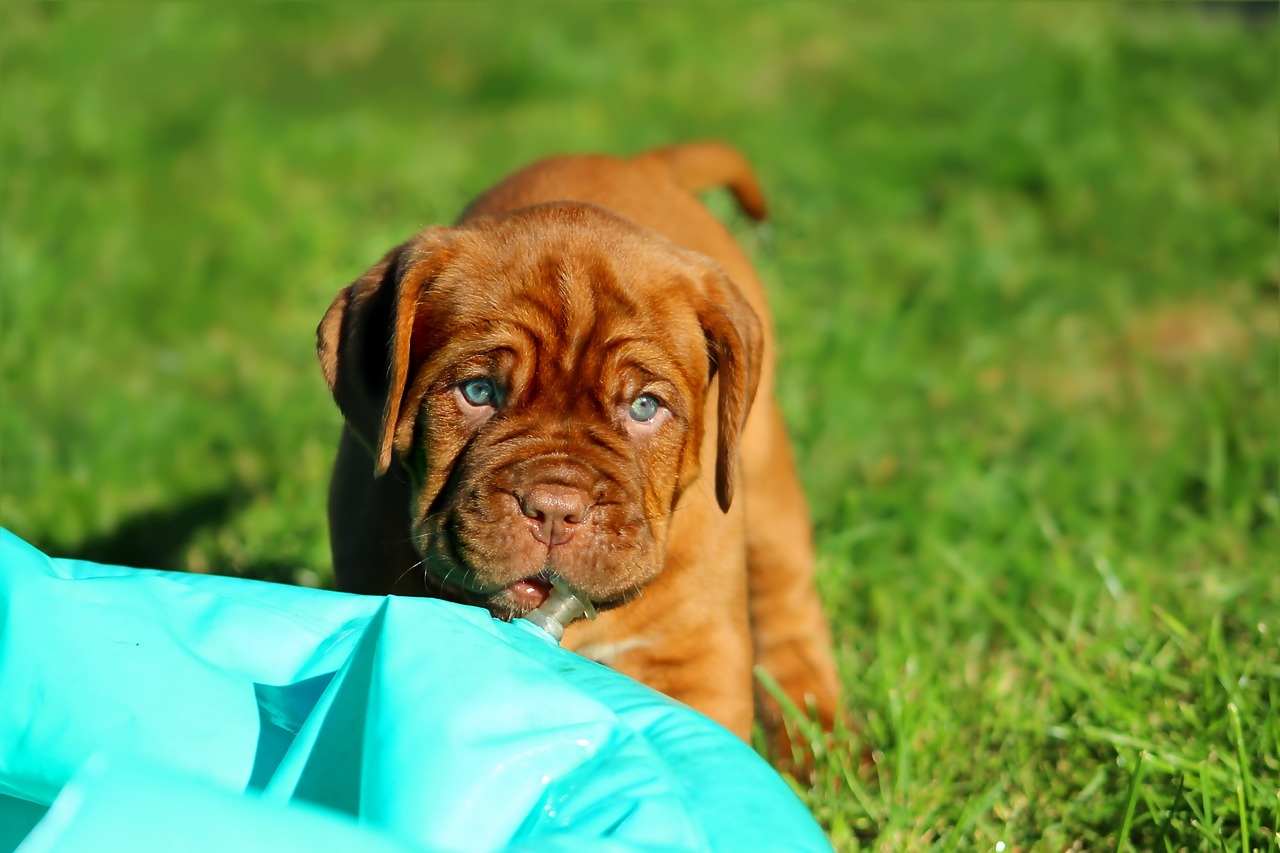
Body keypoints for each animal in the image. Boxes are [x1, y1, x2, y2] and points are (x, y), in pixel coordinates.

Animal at [317, 140, 839, 742]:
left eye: (644, 407)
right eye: (478, 391)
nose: (554, 509)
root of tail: (639, 162)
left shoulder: (694, 657)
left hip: (765, 476)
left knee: (789, 607)